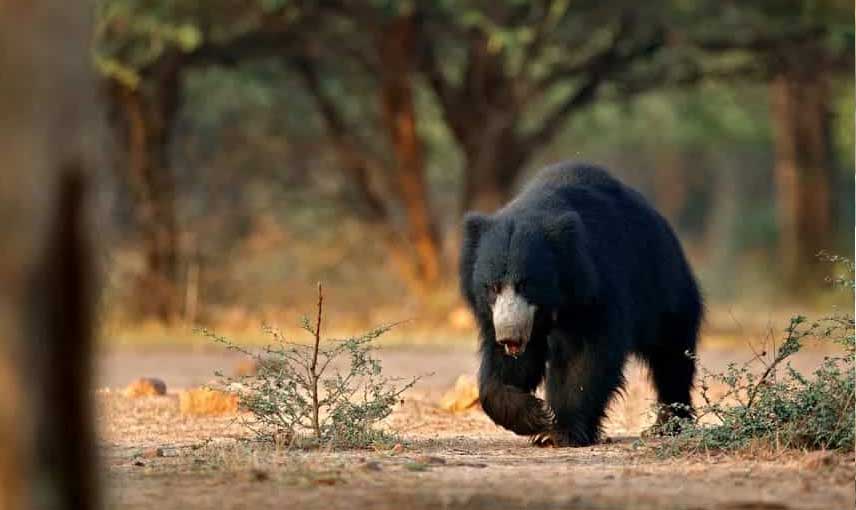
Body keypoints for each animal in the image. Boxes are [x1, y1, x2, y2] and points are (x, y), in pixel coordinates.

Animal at [462, 163, 704, 446]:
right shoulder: (501, 316)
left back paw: (668, 424)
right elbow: (505, 368)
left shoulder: (595, 289)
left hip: (665, 292)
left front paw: (558, 431)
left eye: (526, 284)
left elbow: (584, 358)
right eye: (493, 287)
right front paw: (534, 414)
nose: (509, 335)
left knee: (672, 357)